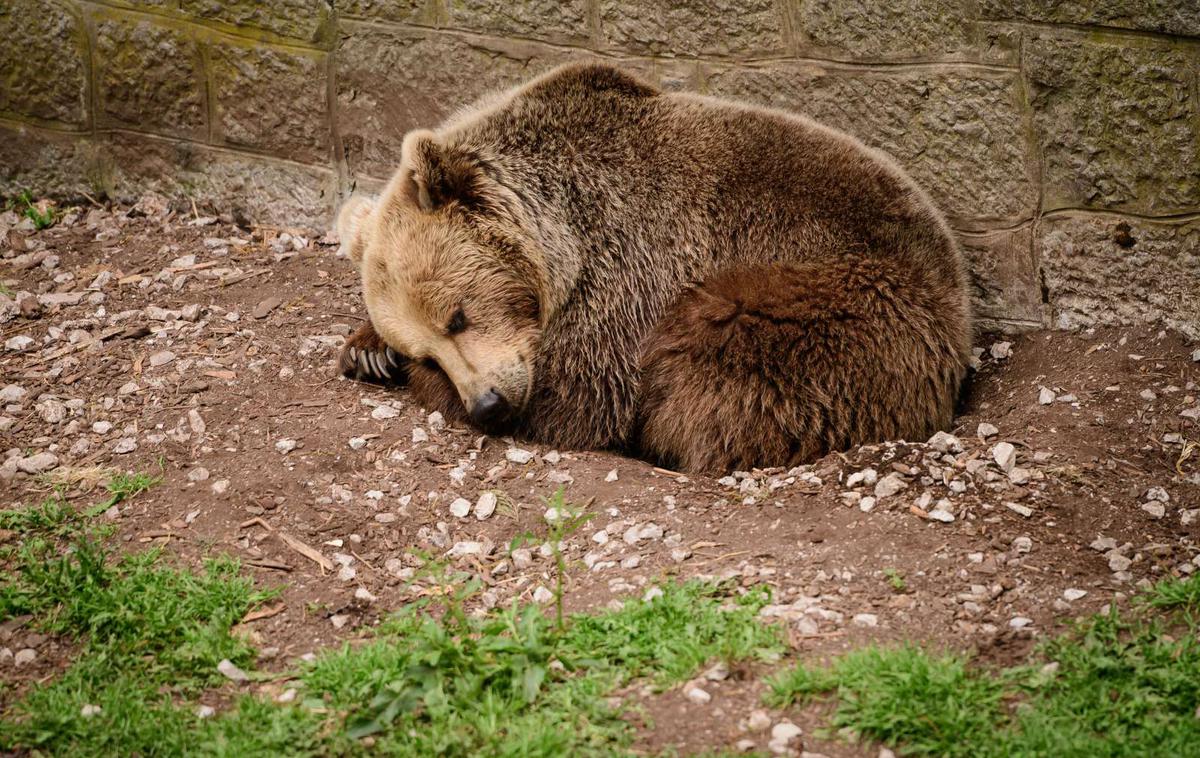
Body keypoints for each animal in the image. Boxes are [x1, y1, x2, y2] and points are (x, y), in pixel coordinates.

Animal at [333, 62, 969, 474]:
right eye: (425, 349)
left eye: (457, 317)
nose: (488, 405)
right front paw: (369, 349)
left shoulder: (628, 265)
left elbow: (582, 395)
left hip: (849, 306)